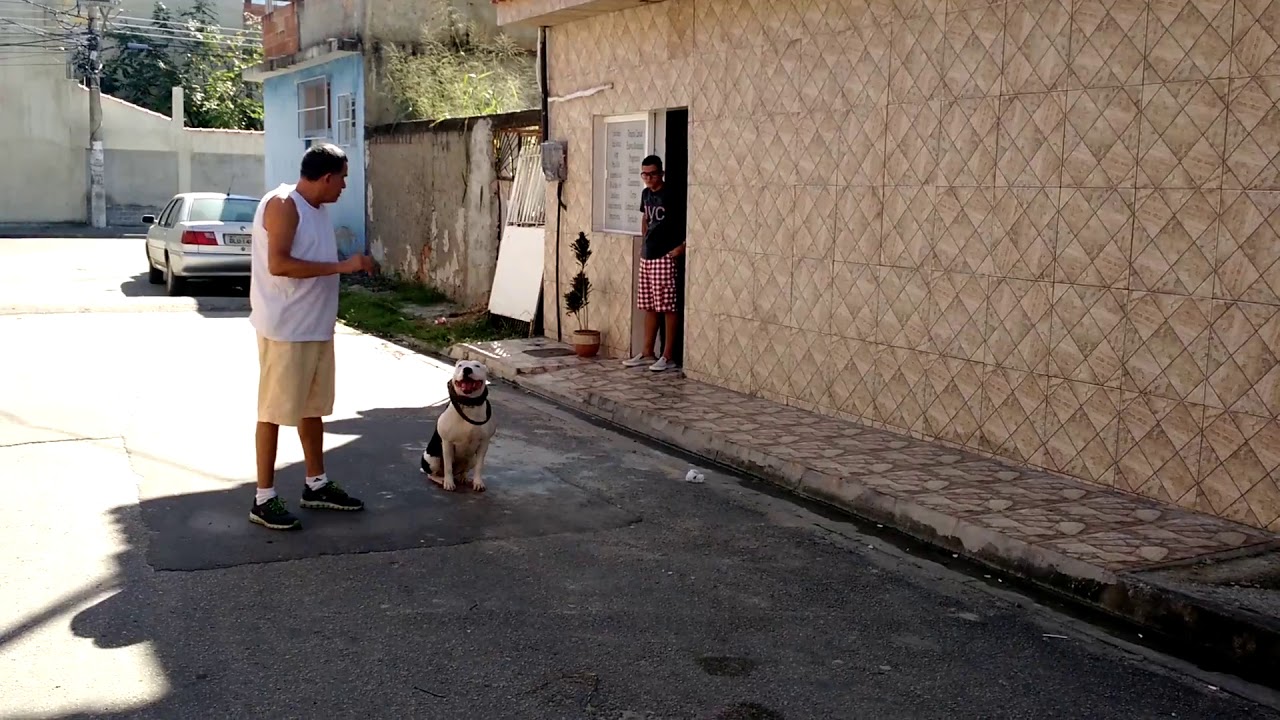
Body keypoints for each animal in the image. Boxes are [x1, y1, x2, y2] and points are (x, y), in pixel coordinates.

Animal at [422, 356, 496, 486]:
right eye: (460, 365)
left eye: (477, 366)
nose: (467, 369)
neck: (468, 405)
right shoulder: (447, 443)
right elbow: (448, 466)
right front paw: (449, 483)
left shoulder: (484, 443)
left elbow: (479, 466)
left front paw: (478, 483)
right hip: (432, 458)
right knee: (432, 474)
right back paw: (441, 480)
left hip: (471, 459)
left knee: (464, 469)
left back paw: (463, 478)